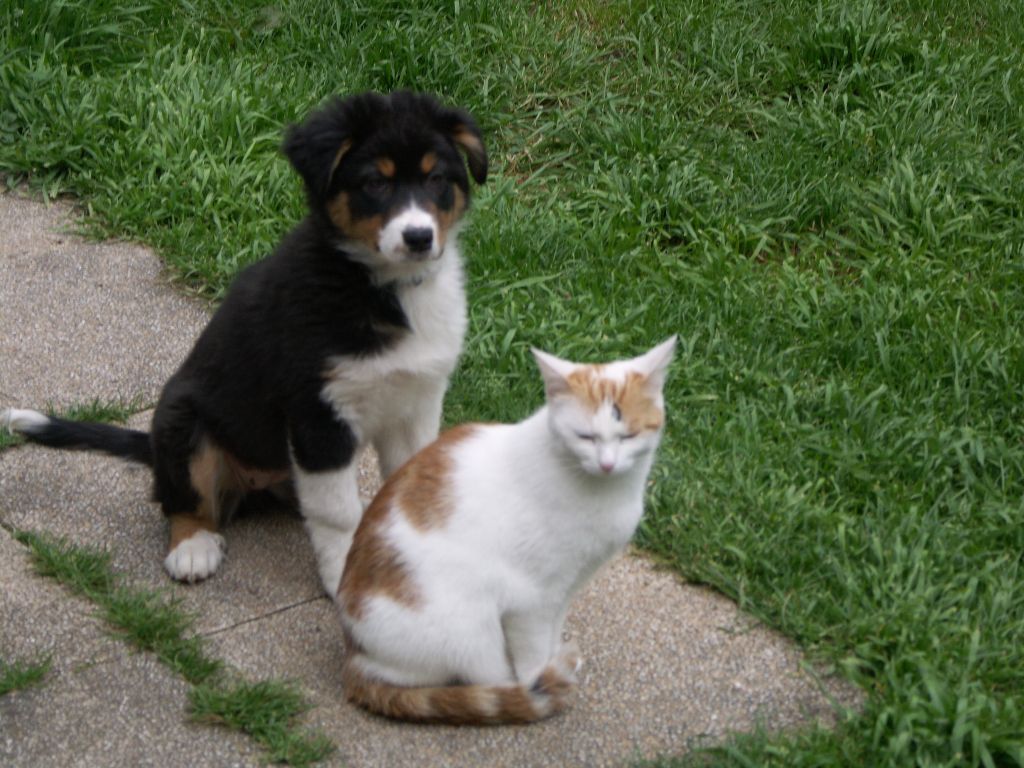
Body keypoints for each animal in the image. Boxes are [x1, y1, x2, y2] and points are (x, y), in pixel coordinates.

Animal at [1, 90, 487, 593]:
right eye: (374, 182)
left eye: (436, 179)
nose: (419, 237)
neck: (383, 286)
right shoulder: (319, 413)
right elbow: (336, 514)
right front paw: (344, 576)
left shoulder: (416, 402)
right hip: (183, 421)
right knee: (182, 501)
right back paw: (192, 548)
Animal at [335, 333, 675, 724]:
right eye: (585, 436)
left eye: (628, 436)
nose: (607, 464)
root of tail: (354, 655)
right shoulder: (532, 599)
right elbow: (533, 654)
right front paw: (538, 680)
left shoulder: (565, 588)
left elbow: (553, 631)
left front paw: (554, 659)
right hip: (470, 632)